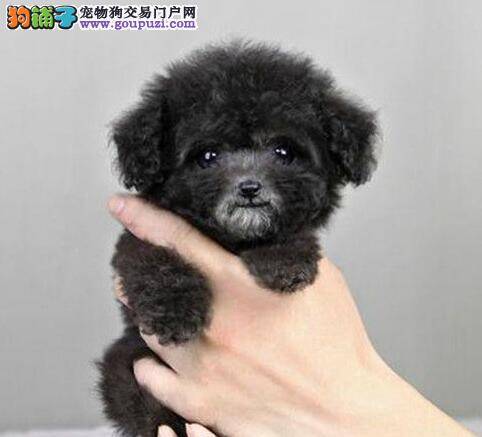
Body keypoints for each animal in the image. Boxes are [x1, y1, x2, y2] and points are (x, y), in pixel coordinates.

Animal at [98, 40, 378, 437]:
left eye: (283, 152)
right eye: (208, 156)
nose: (249, 187)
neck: (233, 239)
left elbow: (293, 232)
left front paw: (285, 261)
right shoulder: (140, 233)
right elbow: (153, 257)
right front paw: (174, 312)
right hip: (124, 363)